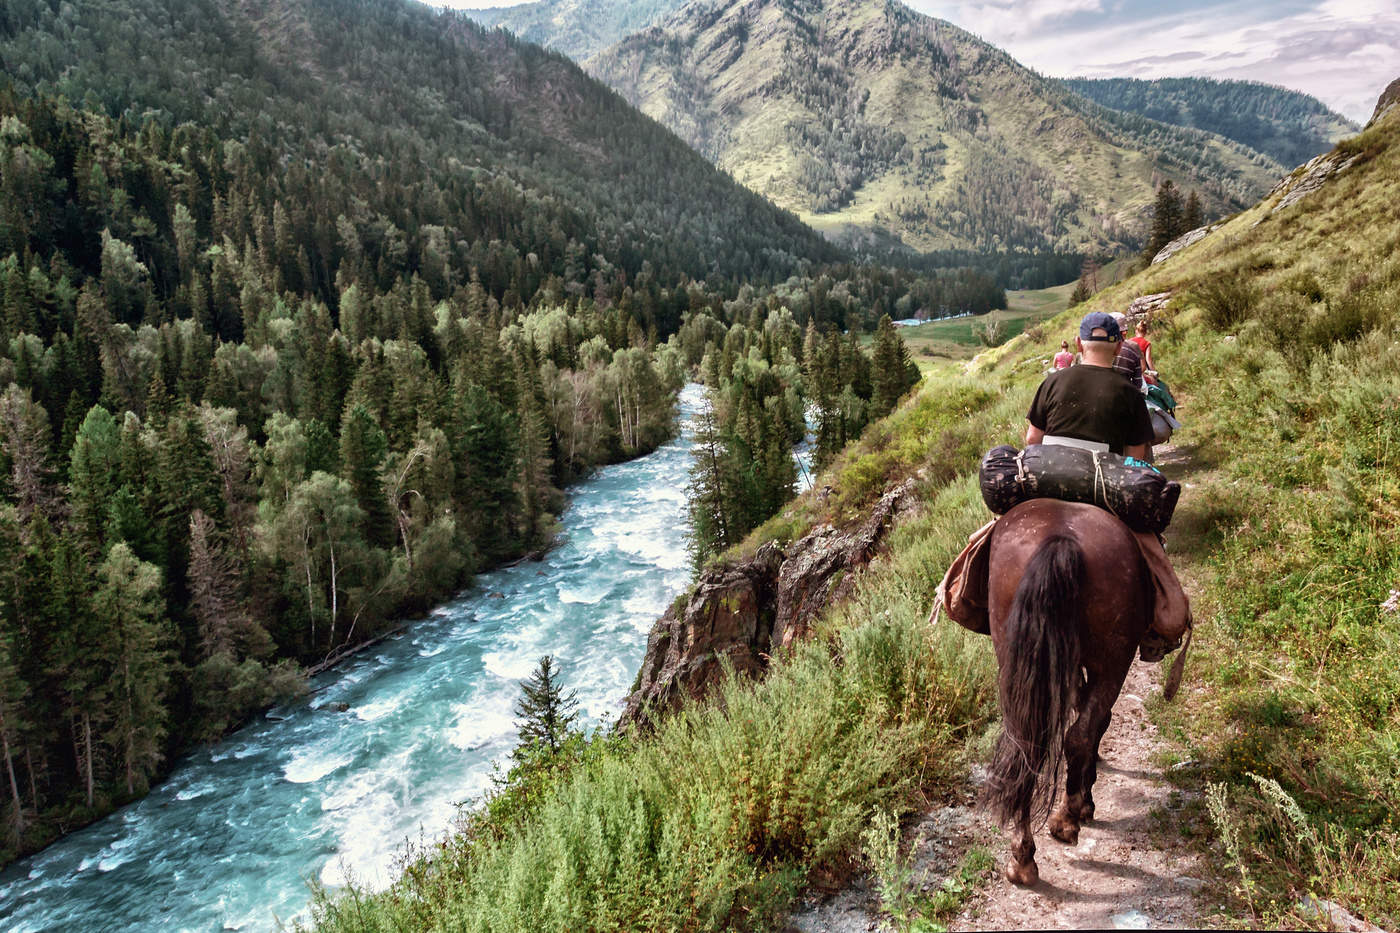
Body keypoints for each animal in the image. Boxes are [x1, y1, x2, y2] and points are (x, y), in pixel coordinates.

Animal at [985, 498, 1148, 885]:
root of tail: (1060, 538)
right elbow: (1096, 722)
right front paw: (1086, 798)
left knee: (1027, 746)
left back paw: (1022, 860)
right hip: (1114, 662)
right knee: (1080, 734)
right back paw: (1066, 820)